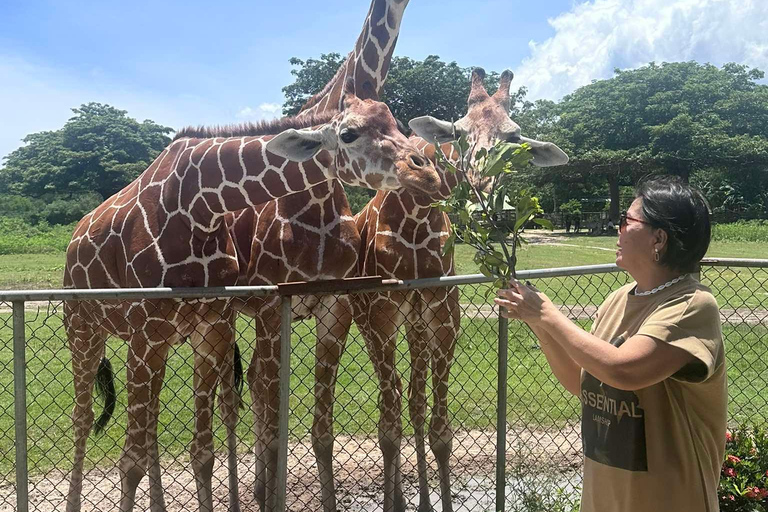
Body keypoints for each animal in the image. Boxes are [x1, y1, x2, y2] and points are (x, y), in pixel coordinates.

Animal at [63, 88, 440, 512]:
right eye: (349, 134)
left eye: (396, 124)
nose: (426, 172)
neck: (200, 205)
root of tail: (73, 239)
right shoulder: (149, 330)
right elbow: (130, 461)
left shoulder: (208, 329)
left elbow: (200, 452)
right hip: (85, 329)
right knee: (83, 417)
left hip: (152, 340)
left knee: (151, 430)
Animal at [225, 2, 412, 510]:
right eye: (348, 134)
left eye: (396, 123)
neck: (316, 200)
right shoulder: (274, 306)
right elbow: (276, 426)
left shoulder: (335, 305)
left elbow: (320, 432)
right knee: (243, 392)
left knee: (253, 380)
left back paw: (256, 487)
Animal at [352, 68, 568, 512]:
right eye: (460, 133)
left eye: (513, 137)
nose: (483, 188)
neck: (416, 218)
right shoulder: (382, 316)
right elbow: (388, 428)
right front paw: (394, 502)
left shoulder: (443, 317)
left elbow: (441, 431)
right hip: (367, 322)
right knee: (392, 401)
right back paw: (400, 500)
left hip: (416, 325)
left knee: (413, 401)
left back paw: (421, 501)